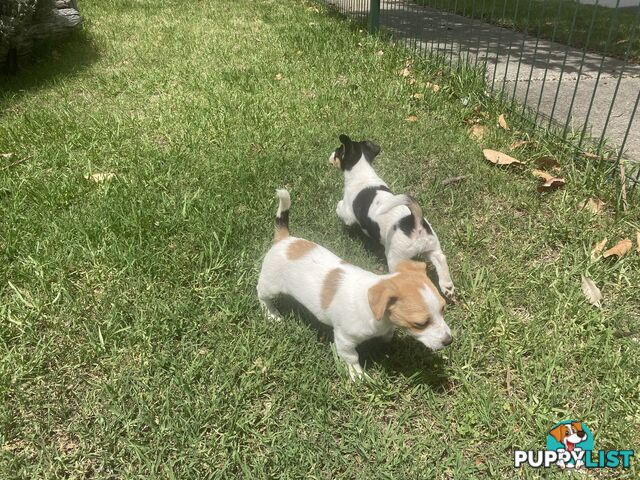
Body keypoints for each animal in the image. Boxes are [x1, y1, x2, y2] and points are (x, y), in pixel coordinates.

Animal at [258, 189, 452, 380]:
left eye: (443, 309)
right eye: (420, 324)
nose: (449, 341)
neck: (375, 312)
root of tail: (284, 239)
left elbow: (387, 334)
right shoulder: (345, 340)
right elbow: (351, 358)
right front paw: (358, 375)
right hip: (270, 285)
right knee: (261, 295)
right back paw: (271, 314)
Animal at [330, 133, 456, 298]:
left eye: (338, 151)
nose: (330, 154)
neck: (363, 172)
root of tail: (415, 222)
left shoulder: (348, 214)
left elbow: (340, 209)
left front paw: (336, 206)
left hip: (396, 257)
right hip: (432, 245)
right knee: (440, 258)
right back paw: (448, 288)